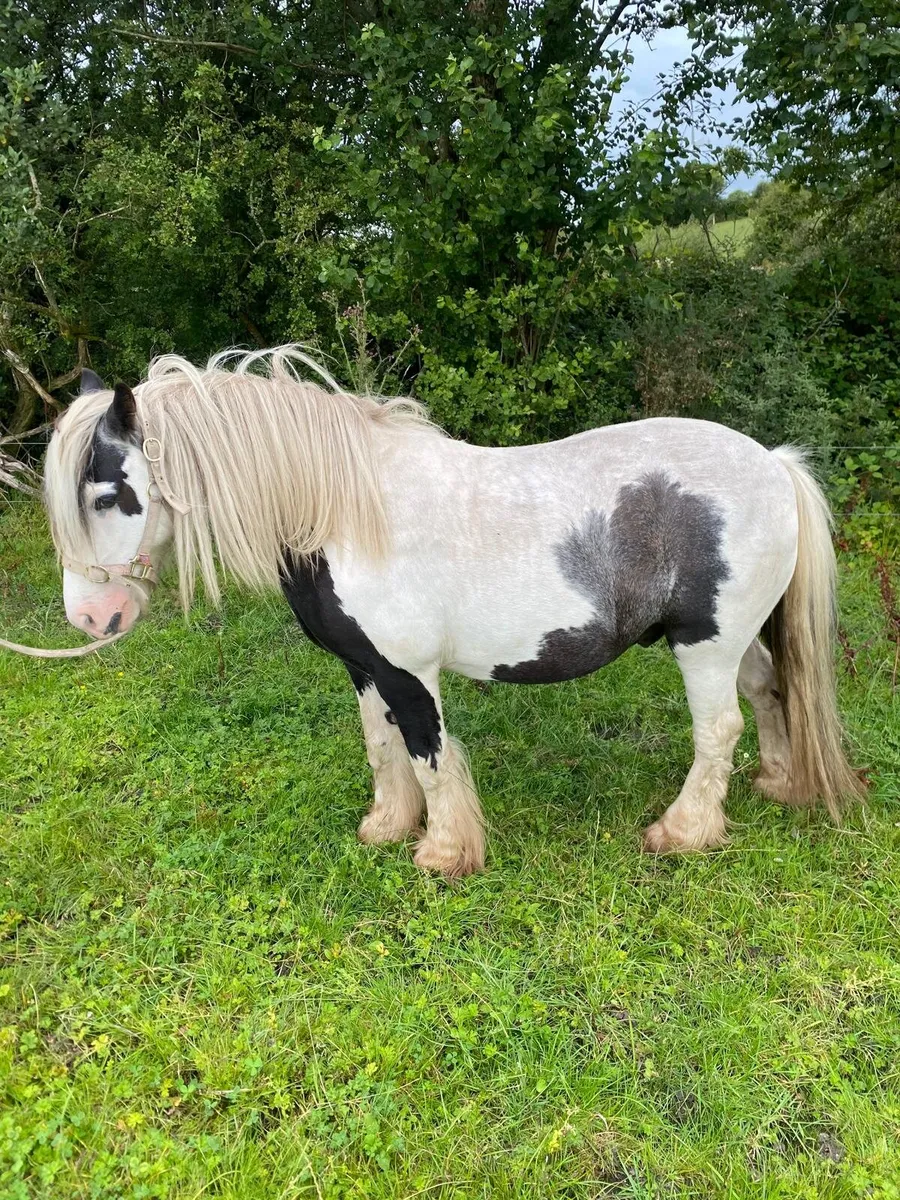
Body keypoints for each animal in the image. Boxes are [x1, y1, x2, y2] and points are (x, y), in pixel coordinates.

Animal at [39, 347, 865, 877]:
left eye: (108, 493)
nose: (90, 620)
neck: (343, 512)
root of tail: (773, 464)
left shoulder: (410, 672)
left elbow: (428, 756)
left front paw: (442, 854)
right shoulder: (364, 668)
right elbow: (383, 749)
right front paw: (385, 826)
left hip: (704, 645)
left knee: (719, 728)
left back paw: (684, 832)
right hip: (734, 639)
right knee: (769, 692)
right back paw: (779, 783)